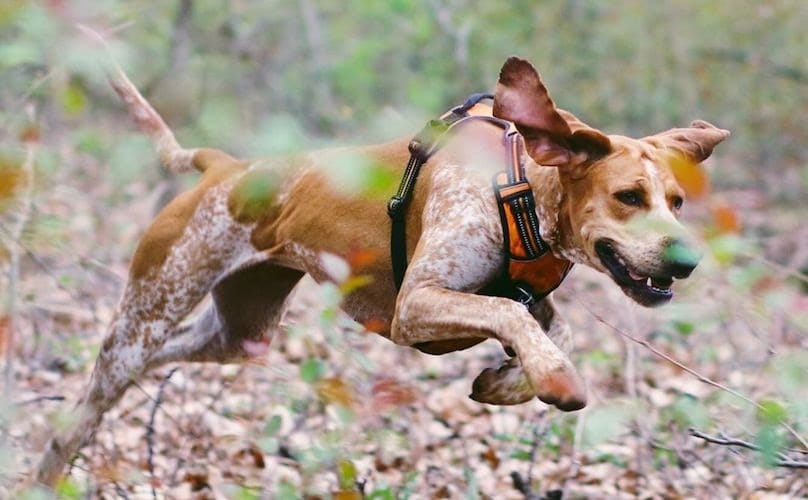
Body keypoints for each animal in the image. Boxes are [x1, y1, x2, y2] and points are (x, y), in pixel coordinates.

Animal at [34, 56, 728, 486]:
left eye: (677, 202)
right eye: (628, 197)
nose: (687, 261)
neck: (518, 188)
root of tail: (223, 166)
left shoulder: (527, 303)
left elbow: (547, 326)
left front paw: (511, 382)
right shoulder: (416, 306)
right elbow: (509, 312)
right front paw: (553, 377)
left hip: (238, 335)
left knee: (164, 358)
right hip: (145, 318)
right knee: (83, 412)